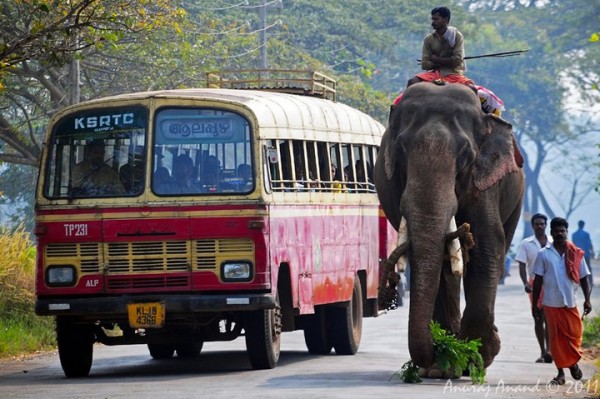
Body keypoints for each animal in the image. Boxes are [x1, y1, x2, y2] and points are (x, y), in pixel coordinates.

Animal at [376, 83, 524, 374]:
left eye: (466, 154)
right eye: (401, 150)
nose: (433, 353)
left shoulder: (483, 182)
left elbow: (488, 247)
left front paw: (477, 354)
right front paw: (448, 358)